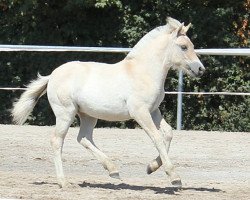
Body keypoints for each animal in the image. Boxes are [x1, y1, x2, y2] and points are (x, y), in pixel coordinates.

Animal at [11, 16, 205, 188]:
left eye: (192, 46)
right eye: (183, 47)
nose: (200, 69)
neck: (144, 72)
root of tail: (52, 76)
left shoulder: (153, 110)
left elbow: (168, 134)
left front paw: (151, 167)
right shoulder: (140, 112)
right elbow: (156, 137)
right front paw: (174, 177)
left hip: (87, 115)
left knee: (83, 138)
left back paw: (113, 170)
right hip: (65, 113)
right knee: (57, 141)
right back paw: (64, 183)